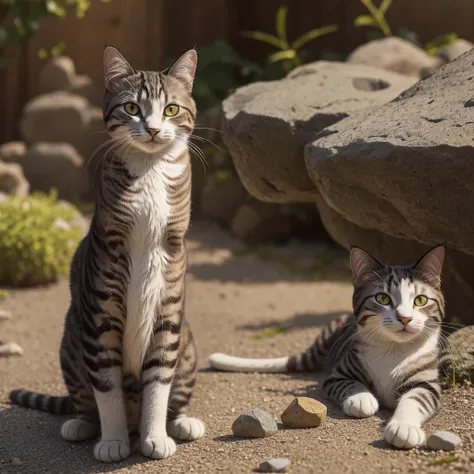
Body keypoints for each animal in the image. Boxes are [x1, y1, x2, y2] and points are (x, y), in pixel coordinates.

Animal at [9, 47, 205, 462]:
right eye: (132, 107)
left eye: (171, 110)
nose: (153, 129)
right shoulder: (101, 304)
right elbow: (107, 387)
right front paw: (114, 442)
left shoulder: (169, 300)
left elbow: (158, 382)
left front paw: (155, 437)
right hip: (70, 339)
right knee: (85, 400)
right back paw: (82, 425)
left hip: (188, 342)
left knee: (176, 390)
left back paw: (181, 423)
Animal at [209, 246, 446, 450]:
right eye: (382, 298)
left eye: (420, 300)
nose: (405, 318)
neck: (393, 348)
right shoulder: (338, 373)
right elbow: (351, 384)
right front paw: (362, 398)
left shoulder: (427, 382)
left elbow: (415, 400)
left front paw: (403, 428)